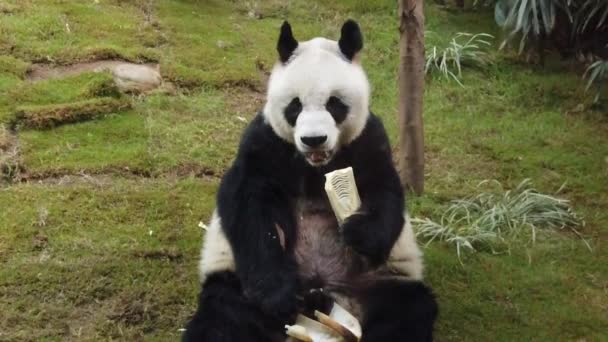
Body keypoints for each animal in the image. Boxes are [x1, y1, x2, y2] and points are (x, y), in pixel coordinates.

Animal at [184, 20, 436, 340]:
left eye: (334, 104)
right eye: (295, 106)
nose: (314, 139)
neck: (316, 165)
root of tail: (324, 293)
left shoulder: (368, 140)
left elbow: (385, 192)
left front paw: (358, 233)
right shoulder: (266, 142)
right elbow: (248, 204)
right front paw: (279, 295)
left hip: (382, 283)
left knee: (407, 311)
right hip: (235, 280)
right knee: (224, 316)